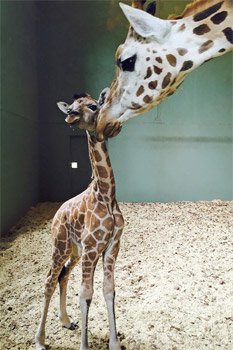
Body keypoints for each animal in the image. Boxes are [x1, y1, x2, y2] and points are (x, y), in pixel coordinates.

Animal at [34, 90, 124, 350]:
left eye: (93, 106)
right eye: (70, 106)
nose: (71, 116)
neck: (106, 195)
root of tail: (56, 214)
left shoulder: (111, 246)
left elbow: (108, 290)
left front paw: (114, 344)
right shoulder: (92, 248)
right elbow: (85, 294)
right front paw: (84, 345)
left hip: (74, 251)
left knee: (62, 276)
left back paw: (66, 321)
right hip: (60, 245)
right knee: (49, 280)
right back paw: (39, 340)